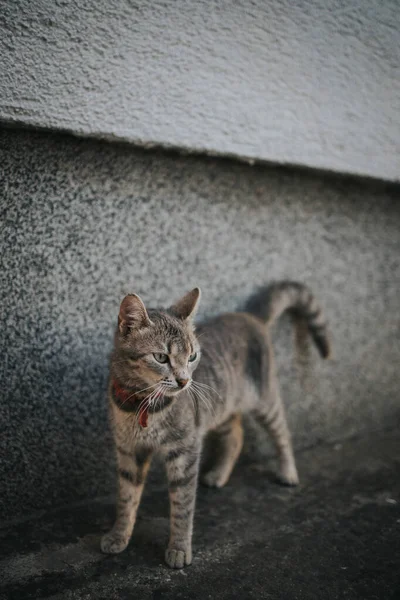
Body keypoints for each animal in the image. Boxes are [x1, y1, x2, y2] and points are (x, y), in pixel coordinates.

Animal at [101, 282, 332, 568]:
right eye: (161, 357)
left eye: (192, 356)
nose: (184, 381)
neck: (140, 404)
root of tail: (250, 317)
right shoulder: (129, 451)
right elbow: (126, 499)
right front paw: (119, 535)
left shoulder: (185, 449)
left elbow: (183, 505)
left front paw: (179, 548)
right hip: (218, 410)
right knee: (235, 435)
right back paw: (219, 474)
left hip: (265, 400)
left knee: (282, 433)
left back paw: (288, 472)